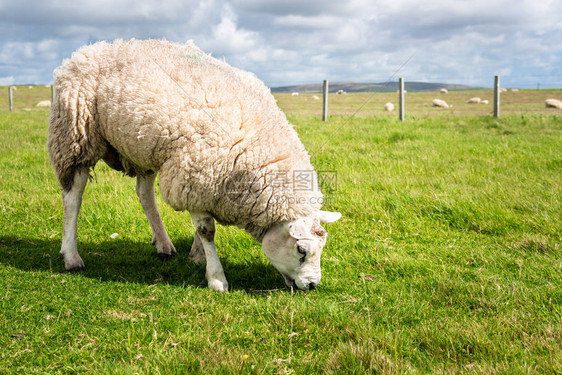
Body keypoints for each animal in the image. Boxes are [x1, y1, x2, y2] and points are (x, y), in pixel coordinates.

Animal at [48, 40, 340, 294]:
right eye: (302, 251)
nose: (312, 286)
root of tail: (90, 49)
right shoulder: (194, 176)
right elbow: (207, 230)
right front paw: (216, 277)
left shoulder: (206, 182)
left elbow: (204, 227)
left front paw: (197, 255)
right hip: (76, 134)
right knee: (73, 197)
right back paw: (72, 257)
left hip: (145, 147)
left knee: (144, 194)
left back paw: (163, 244)